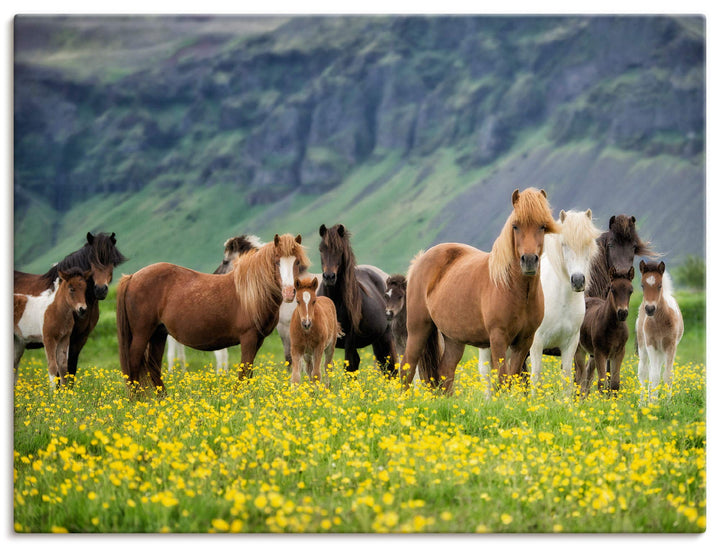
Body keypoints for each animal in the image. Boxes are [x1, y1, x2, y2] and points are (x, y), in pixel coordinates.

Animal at [317, 224, 397, 376]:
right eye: (321, 249)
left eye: (340, 250)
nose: (329, 277)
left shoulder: (350, 339)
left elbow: (350, 367)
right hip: (376, 339)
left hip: (385, 336)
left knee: (391, 367)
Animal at [402, 188, 560, 395]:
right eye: (515, 226)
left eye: (542, 226)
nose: (529, 260)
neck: (515, 290)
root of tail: (420, 260)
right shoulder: (498, 338)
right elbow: (503, 378)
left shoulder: (524, 341)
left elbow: (513, 377)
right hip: (418, 328)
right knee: (407, 368)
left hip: (453, 339)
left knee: (445, 371)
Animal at [575, 267, 635, 397]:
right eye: (612, 289)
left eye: (631, 290)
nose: (622, 313)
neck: (614, 328)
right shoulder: (600, 352)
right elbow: (602, 383)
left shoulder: (619, 352)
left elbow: (615, 383)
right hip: (579, 349)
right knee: (580, 376)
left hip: (592, 354)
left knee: (587, 374)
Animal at [636, 260, 684, 401]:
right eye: (642, 285)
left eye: (660, 285)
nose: (650, 309)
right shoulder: (651, 344)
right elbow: (654, 376)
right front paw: (653, 403)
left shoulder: (671, 346)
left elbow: (668, 375)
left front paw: (667, 403)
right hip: (643, 346)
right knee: (644, 372)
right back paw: (643, 402)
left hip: (661, 352)